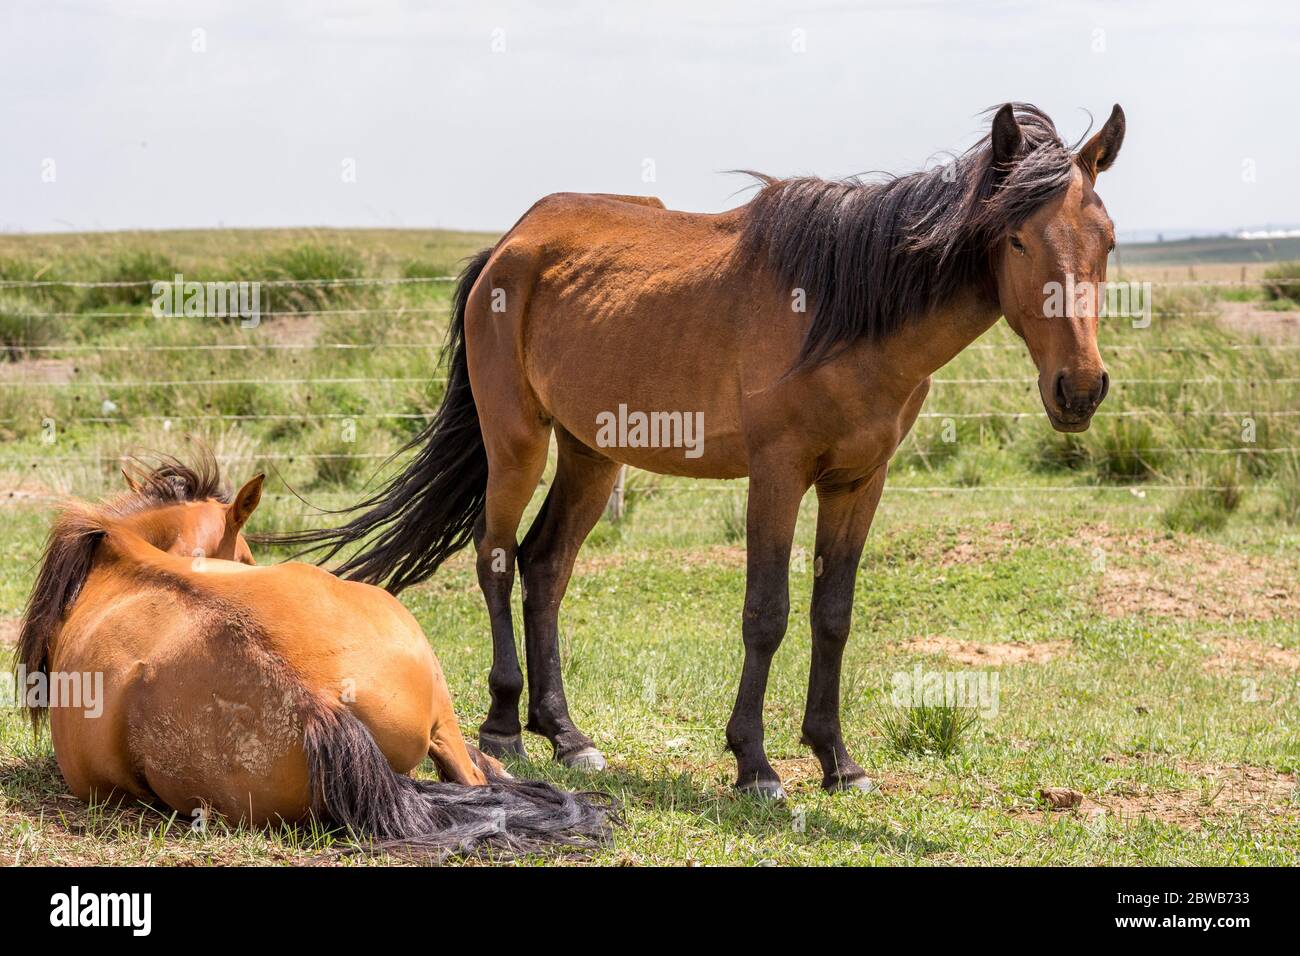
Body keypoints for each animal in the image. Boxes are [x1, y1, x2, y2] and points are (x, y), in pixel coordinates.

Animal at [274, 102, 1126, 798]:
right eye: (1017, 238)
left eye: (1109, 241)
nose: (1080, 388)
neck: (846, 311)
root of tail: (510, 246)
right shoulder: (777, 474)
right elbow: (766, 613)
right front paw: (756, 764)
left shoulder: (859, 482)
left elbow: (833, 615)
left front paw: (837, 760)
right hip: (517, 442)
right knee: (496, 558)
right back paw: (504, 724)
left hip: (592, 453)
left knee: (546, 567)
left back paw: (568, 735)